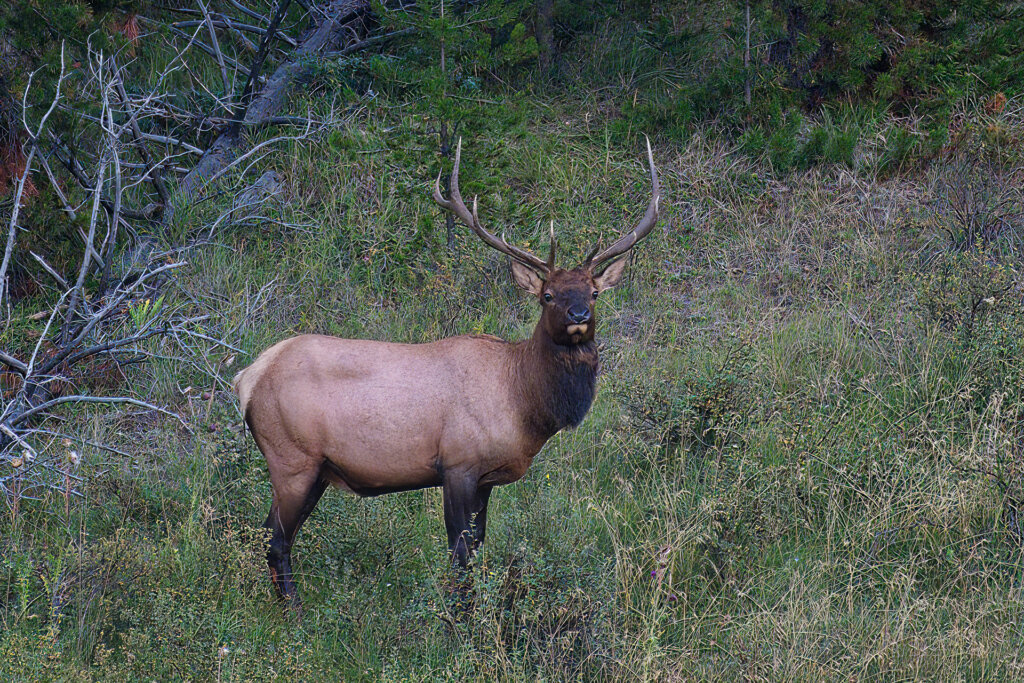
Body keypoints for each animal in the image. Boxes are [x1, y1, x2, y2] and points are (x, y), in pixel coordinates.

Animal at [232, 136, 659, 606]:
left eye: (595, 292)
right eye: (547, 295)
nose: (579, 314)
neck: (524, 403)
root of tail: (246, 378)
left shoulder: (486, 478)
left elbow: (477, 549)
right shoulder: (457, 463)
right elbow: (459, 557)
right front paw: (457, 618)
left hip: (315, 470)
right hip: (292, 459)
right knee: (275, 540)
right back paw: (295, 613)